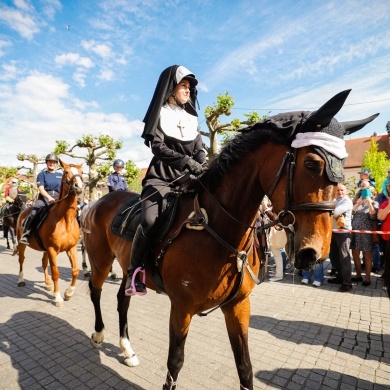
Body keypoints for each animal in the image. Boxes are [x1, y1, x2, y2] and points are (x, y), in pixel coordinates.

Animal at [15, 160, 84, 306]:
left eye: (81, 172)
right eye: (66, 172)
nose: (78, 187)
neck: (65, 219)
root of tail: (23, 211)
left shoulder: (72, 248)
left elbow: (75, 270)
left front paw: (68, 293)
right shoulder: (52, 249)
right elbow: (56, 273)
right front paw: (58, 297)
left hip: (45, 249)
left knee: (43, 263)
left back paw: (48, 284)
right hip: (22, 244)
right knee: (21, 260)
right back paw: (21, 280)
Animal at [81, 90, 378, 388]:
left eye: (342, 166)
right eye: (312, 163)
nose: (314, 252)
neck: (218, 229)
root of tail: (96, 203)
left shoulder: (238, 306)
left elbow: (245, 366)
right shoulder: (181, 308)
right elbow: (175, 363)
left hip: (126, 267)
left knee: (122, 298)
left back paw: (127, 349)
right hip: (100, 261)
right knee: (96, 291)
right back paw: (98, 334)